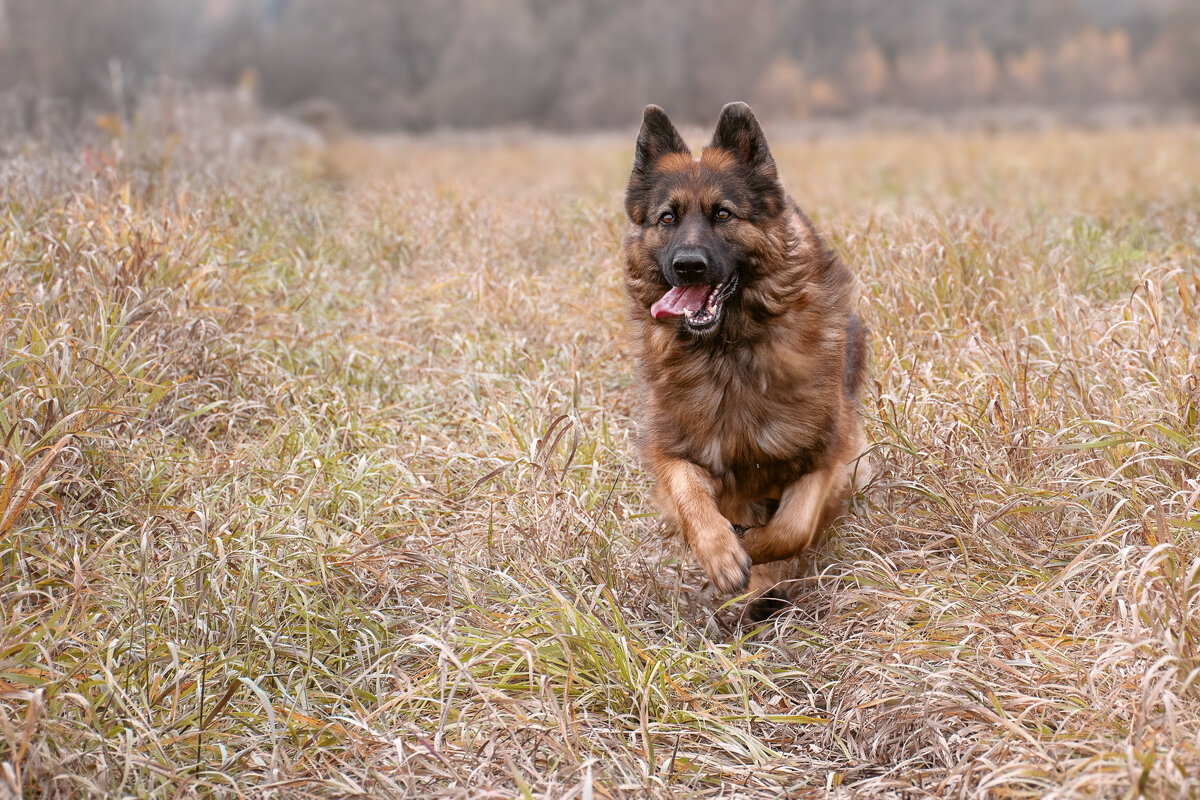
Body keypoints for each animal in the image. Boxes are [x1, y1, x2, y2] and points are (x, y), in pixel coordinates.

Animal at [624, 101, 868, 623]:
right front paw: (721, 555)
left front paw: (753, 555)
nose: (688, 266)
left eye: (722, 214)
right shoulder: (673, 447)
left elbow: (793, 528)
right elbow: (691, 497)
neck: (728, 352)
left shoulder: (827, 451)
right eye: (667, 218)